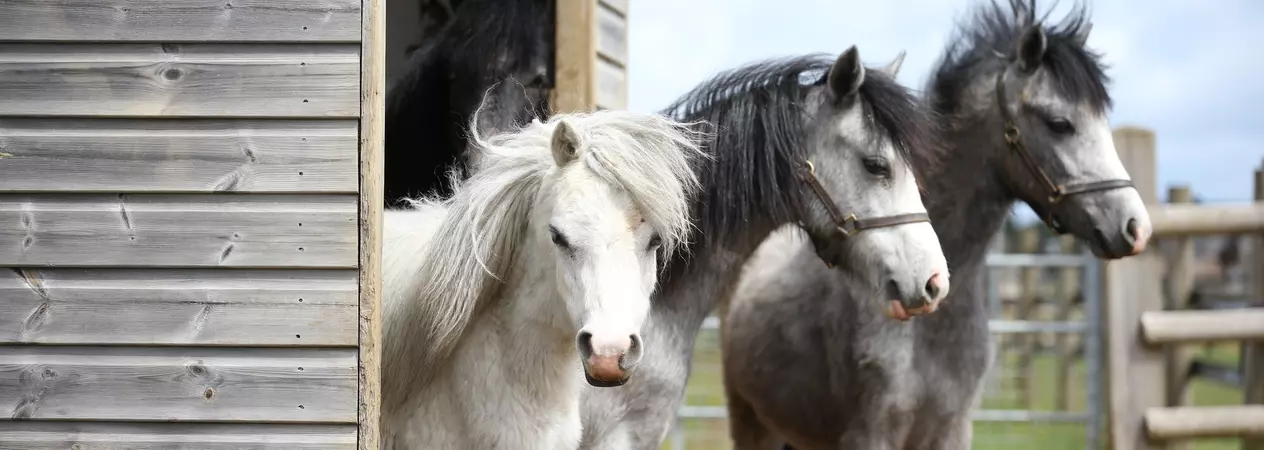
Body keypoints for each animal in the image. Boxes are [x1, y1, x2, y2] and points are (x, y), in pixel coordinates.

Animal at [719, 1, 1152, 449]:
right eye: (1060, 123)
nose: (1134, 227)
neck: (931, 327)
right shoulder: (870, 434)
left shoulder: (952, 429)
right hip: (753, 424)